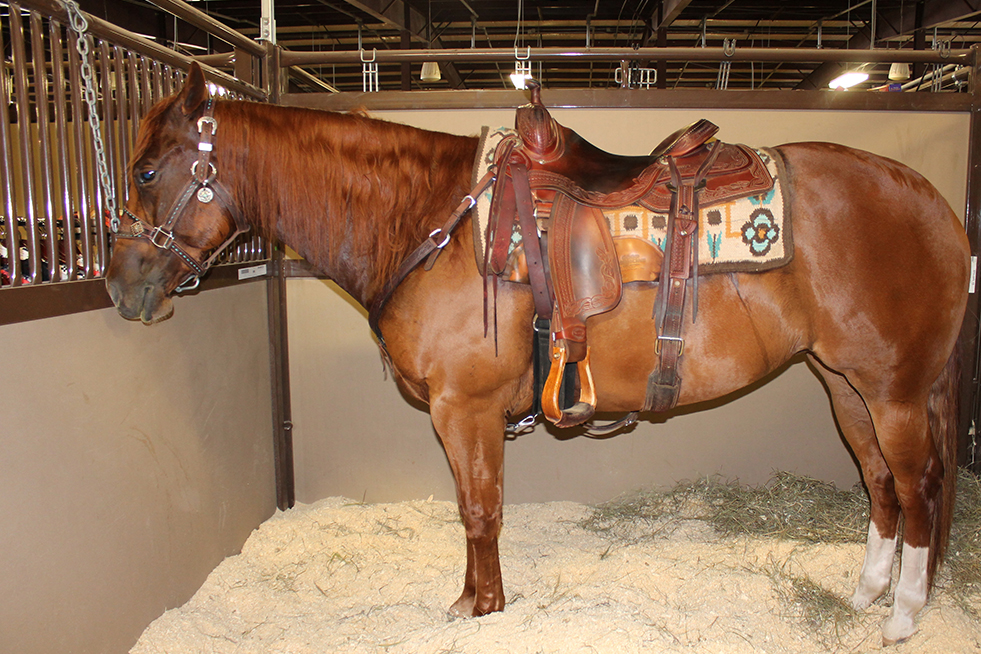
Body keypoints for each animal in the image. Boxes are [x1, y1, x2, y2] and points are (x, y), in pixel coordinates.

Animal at [105, 64, 969, 645]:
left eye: (146, 169)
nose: (119, 285)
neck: (433, 224)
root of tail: (930, 199)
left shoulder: (466, 408)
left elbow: (479, 509)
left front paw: (481, 608)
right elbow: (471, 508)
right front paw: (472, 600)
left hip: (893, 389)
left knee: (918, 486)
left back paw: (902, 616)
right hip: (844, 383)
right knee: (879, 483)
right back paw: (865, 594)